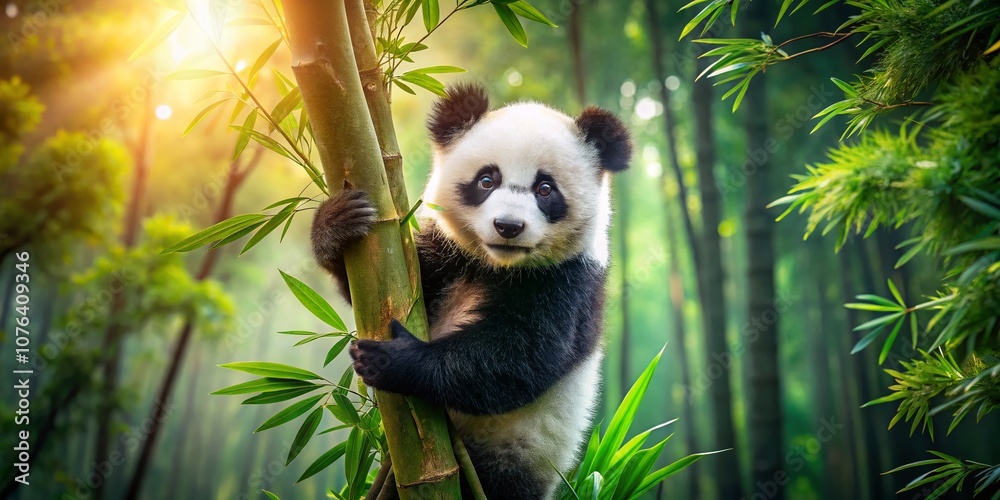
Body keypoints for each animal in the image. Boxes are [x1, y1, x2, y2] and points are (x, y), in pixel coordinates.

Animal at [310, 83, 632, 499]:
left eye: (545, 189)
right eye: (486, 180)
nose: (508, 226)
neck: (497, 266)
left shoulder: (568, 283)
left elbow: (520, 356)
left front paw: (393, 359)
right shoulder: (448, 256)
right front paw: (338, 222)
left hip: (510, 459)